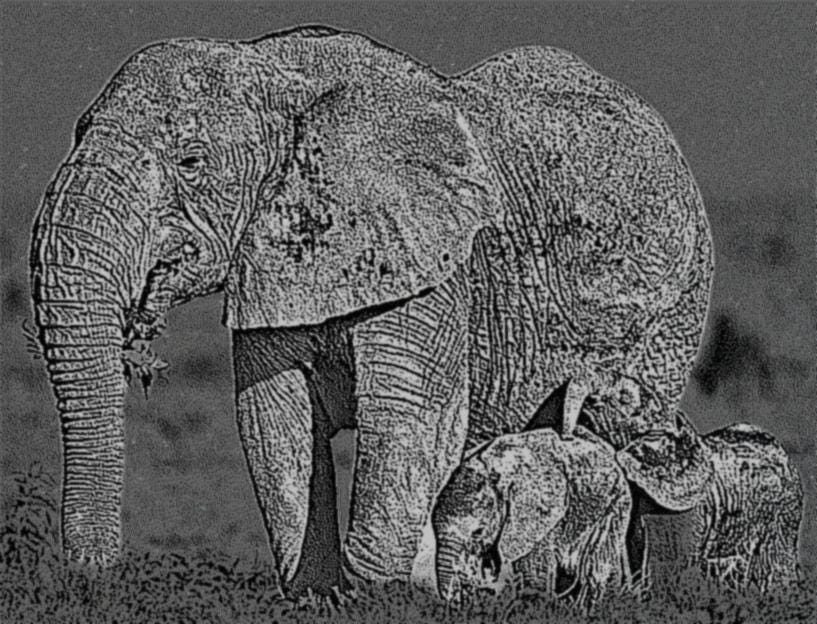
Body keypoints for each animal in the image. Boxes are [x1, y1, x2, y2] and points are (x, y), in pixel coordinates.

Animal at [431, 424, 632, 605]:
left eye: (478, 532)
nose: (453, 597)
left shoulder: (540, 518)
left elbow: (533, 572)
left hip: (615, 505)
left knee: (597, 571)